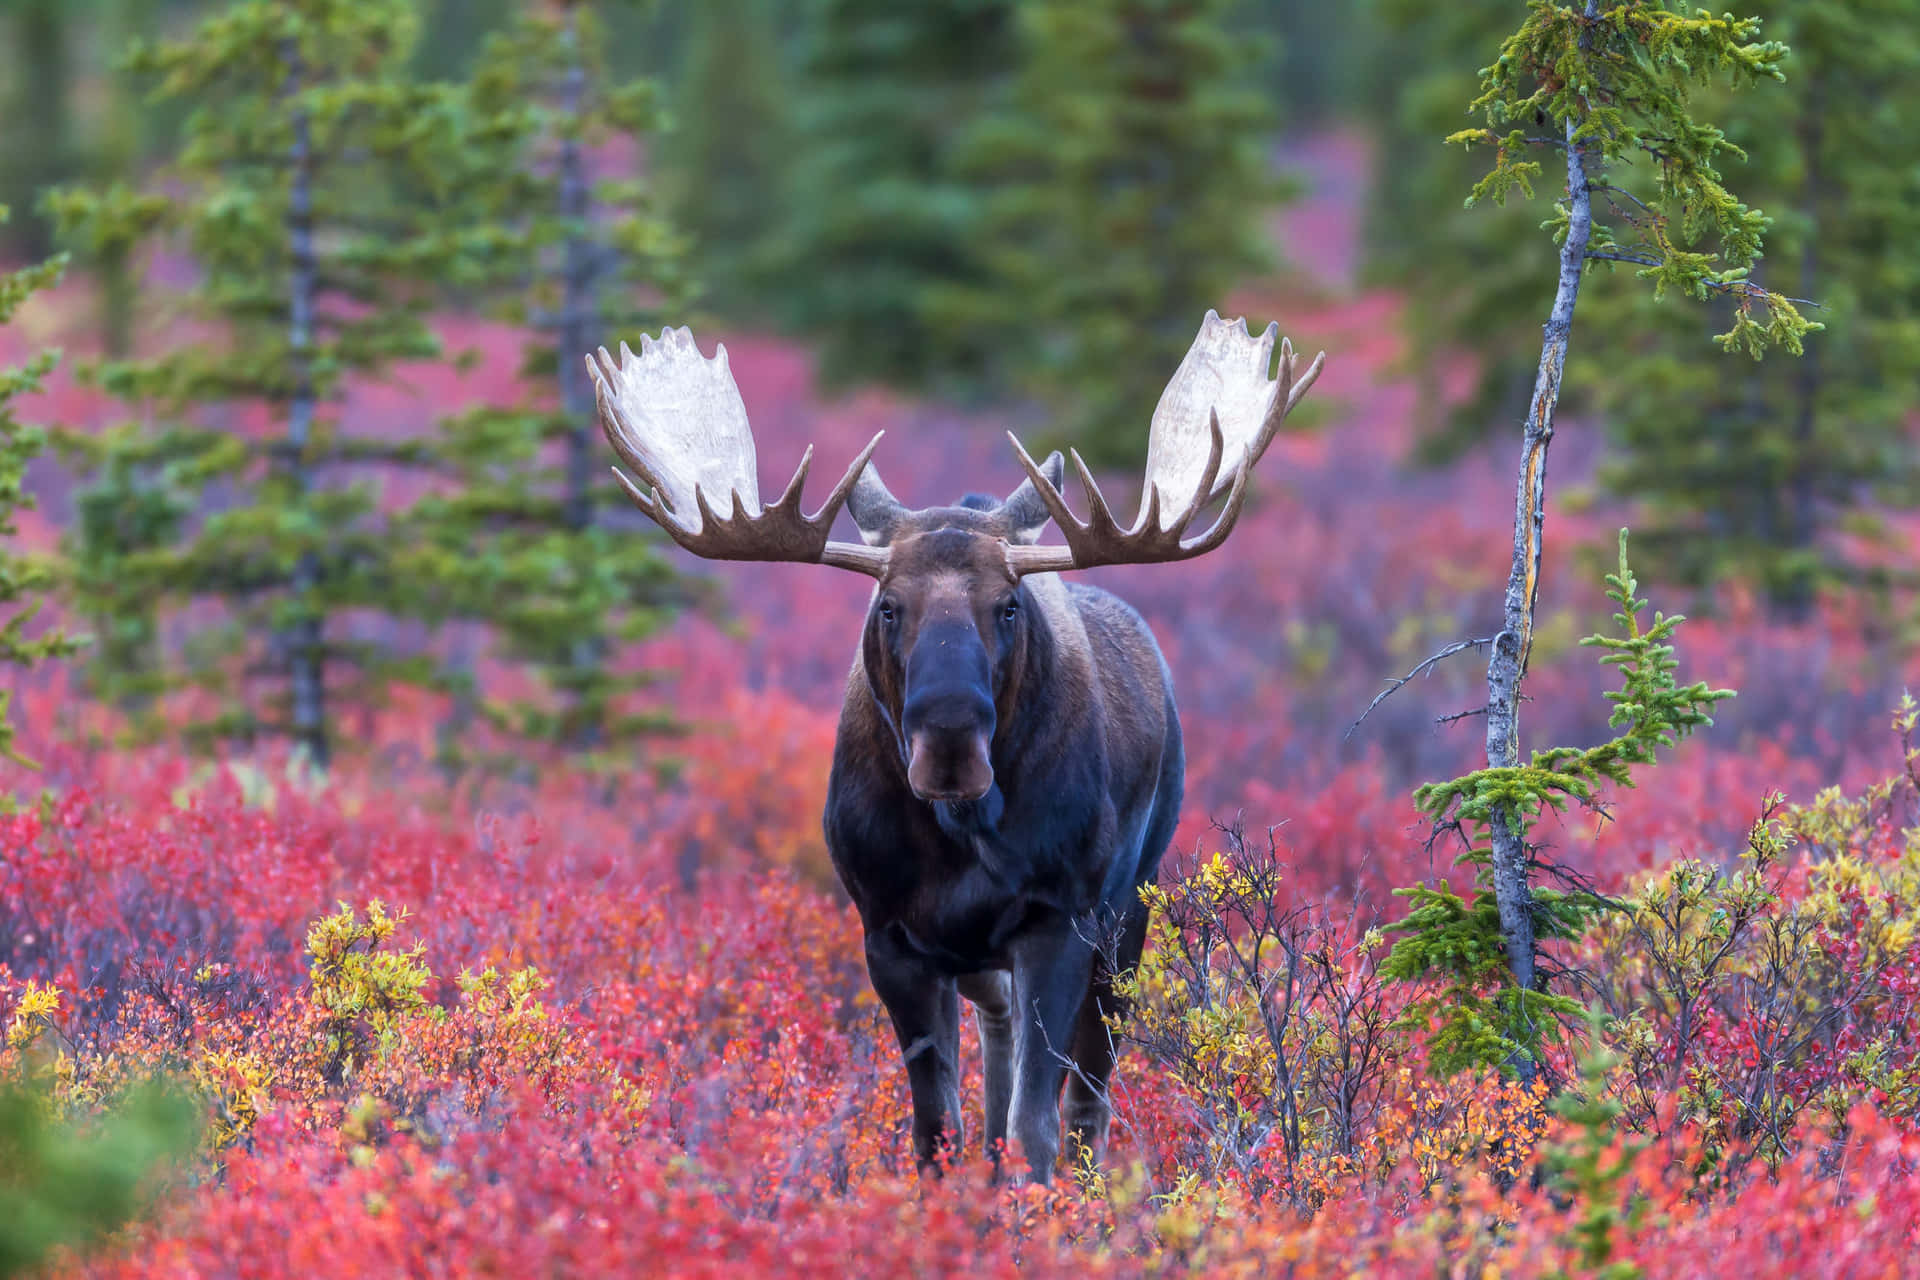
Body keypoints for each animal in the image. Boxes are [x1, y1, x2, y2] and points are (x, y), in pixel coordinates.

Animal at [591, 310, 1328, 1182]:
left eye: (1007, 604)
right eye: (887, 605)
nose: (949, 742)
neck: (958, 838)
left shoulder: (1060, 918)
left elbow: (1036, 1122)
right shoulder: (889, 935)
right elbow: (935, 1126)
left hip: (1128, 913)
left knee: (1088, 1095)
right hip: (985, 958)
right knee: (1000, 1041)